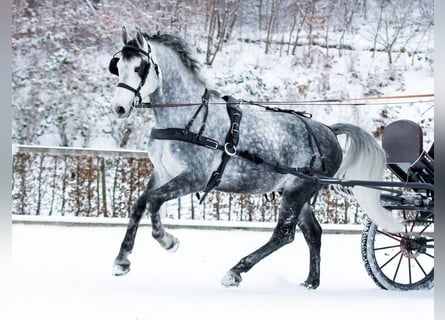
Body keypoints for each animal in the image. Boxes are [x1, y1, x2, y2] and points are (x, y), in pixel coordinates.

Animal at [108, 26, 402, 288]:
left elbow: (154, 201)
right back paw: (311, 282)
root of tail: (328, 130)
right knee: (313, 232)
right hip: (295, 191)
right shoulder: (162, 172)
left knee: (284, 234)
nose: (119, 108)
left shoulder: (194, 178)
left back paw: (236, 271)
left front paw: (168, 241)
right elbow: (140, 203)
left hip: (298, 190)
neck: (188, 117)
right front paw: (122, 260)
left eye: (140, 68)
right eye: (117, 66)